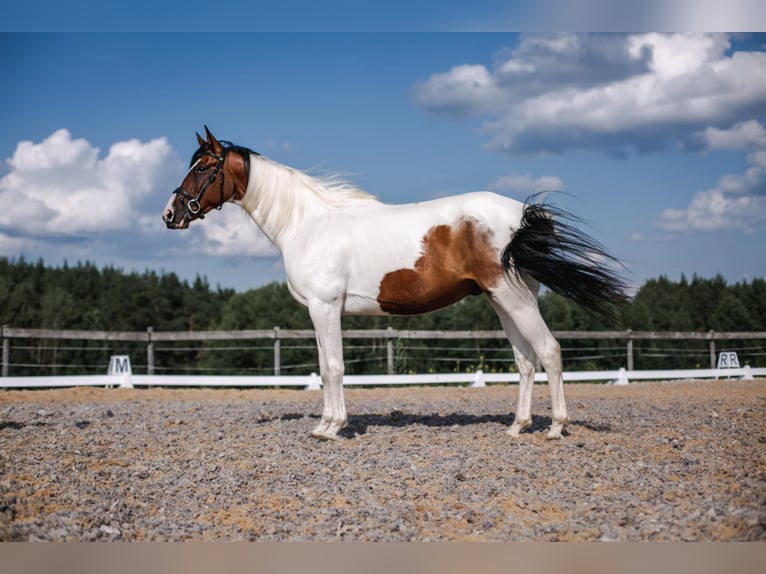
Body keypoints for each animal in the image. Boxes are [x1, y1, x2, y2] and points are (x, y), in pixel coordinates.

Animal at [163, 126, 629, 440]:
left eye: (203, 167)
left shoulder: (325, 307)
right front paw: (326, 423)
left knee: (549, 351)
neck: (307, 224)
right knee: (526, 361)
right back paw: (518, 426)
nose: (171, 214)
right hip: (505, 301)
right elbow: (325, 367)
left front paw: (331, 428)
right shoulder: (318, 311)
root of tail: (524, 214)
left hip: (514, 300)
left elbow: (333, 368)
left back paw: (556, 428)